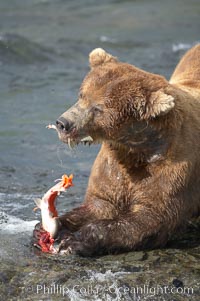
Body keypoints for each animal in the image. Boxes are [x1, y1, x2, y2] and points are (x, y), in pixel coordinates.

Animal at [33, 45, 199, 255]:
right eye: (82, 94)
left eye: (98, 109)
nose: (63, 123)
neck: (138, 149)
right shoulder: (113, 165)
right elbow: (100, 203)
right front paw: (47, 227)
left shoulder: (174, 167)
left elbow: (152, 217)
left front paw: (74, 240)